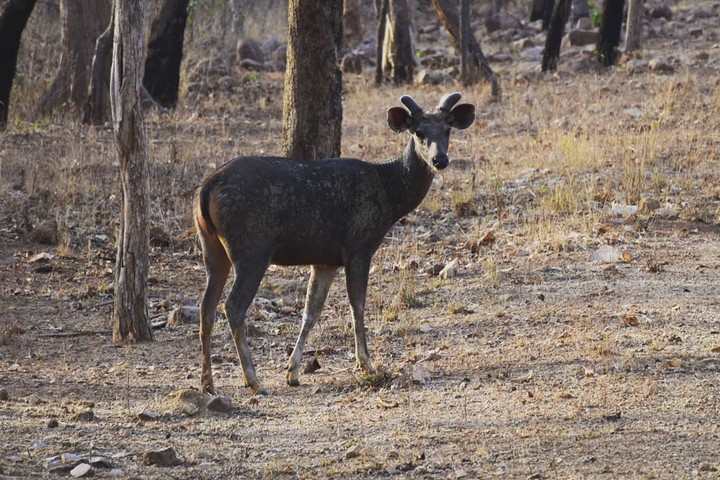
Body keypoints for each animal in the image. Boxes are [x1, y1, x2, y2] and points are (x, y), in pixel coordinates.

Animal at [194, 92, 475, 395]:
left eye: (447, 129)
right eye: (418, 132)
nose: (440, 159)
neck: (391, 194)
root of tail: (207, 187)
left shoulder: (325, 260)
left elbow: (311, 311)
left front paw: (293, 372)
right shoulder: (359, 246)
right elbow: (358, 304)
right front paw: (367, 364)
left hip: (212, 246)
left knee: (206, 306)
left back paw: (208, 382)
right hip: (251, 248)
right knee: (232, 306)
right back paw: (253, 380)